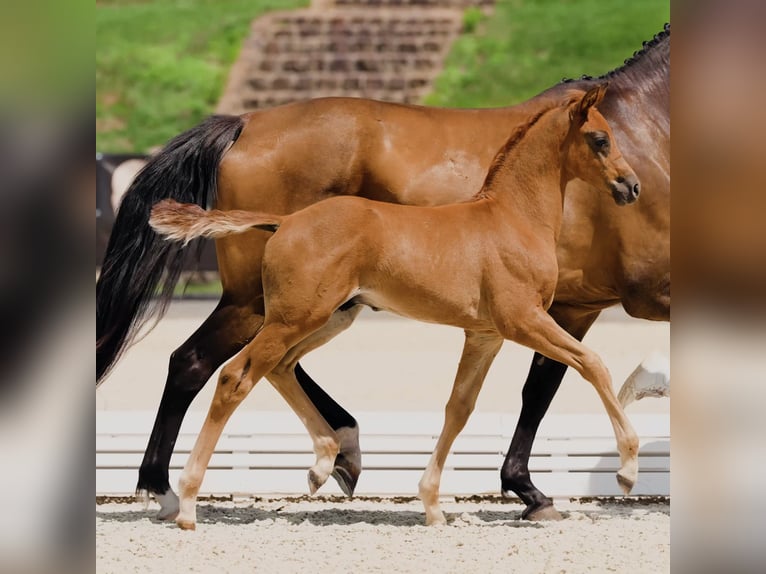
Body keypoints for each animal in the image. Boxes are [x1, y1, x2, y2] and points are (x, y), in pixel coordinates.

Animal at [96, 25, 669, 521]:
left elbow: (480, 402)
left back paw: (332, 456)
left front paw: (494, 495)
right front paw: (620, 468)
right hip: (260, 303)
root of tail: (244, 124)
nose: (630, 187)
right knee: (206, 366)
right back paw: (174, 495)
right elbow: (587, 369)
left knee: (269, 366)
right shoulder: (571, 307)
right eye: (600, 140)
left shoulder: (514, 322)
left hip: (320, 309)